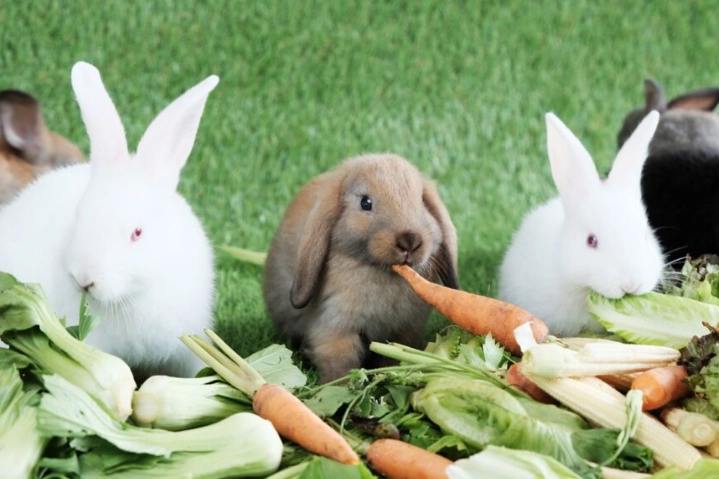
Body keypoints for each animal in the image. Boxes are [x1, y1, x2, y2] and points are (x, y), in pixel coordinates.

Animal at [263, 153, 459, 383]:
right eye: (366, 202)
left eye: (421, 201)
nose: (409, 240)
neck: (383, 272)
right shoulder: (334, 328)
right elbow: (340, 363)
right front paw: (340, 387)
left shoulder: (404, 331)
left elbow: (394, 357)